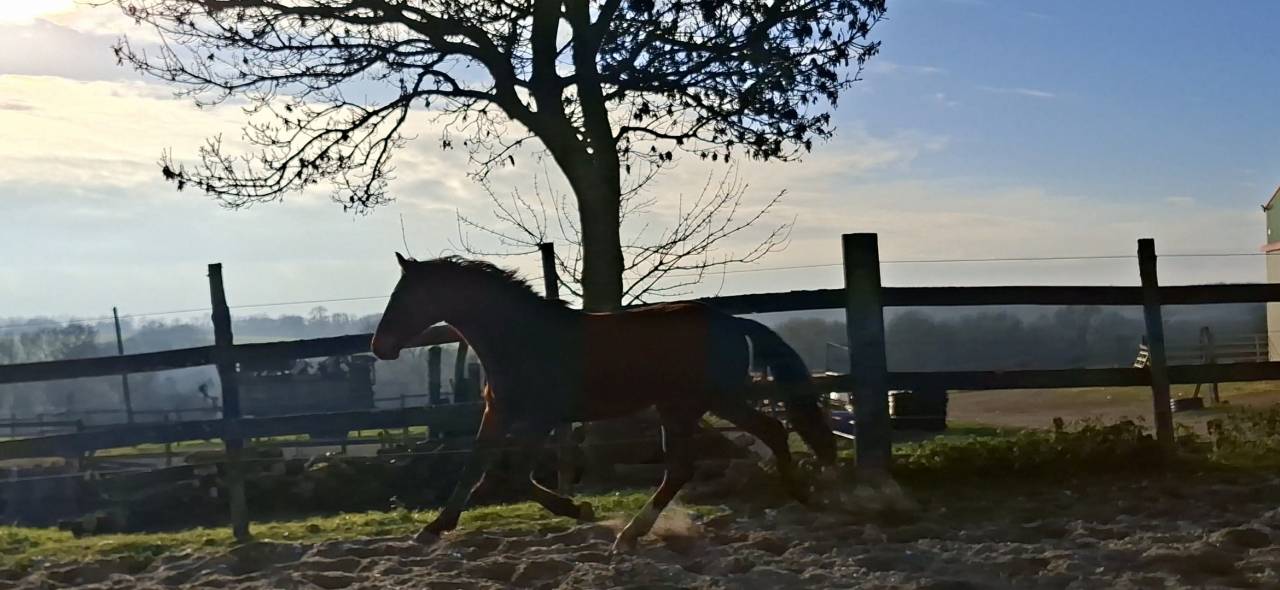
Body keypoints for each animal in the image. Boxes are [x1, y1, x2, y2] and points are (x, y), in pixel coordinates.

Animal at [370, 253, 836, 551]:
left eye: (405, 296)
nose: (380, 346)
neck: (520, 338)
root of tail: (734, 322)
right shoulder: (498, 411)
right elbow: (473, 468)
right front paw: (434, 528)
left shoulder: (540, 417)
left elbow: (515, 473)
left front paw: (577, 508)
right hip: (684, 407)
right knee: (695, 462)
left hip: (703, 401)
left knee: (755, 436)